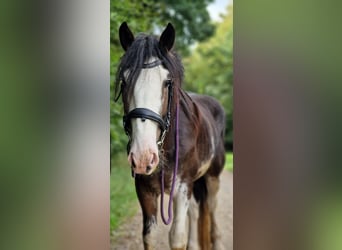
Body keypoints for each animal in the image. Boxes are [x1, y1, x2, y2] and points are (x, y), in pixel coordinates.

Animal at [115, 22, 227, 250]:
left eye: (167, 82)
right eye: (124, 82)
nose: (143, 158)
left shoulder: (182, 186)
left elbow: (177, 238)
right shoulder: (145, 190)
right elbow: (149, 236)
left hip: (212, 177)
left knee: (211, 209)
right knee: (195, 211)